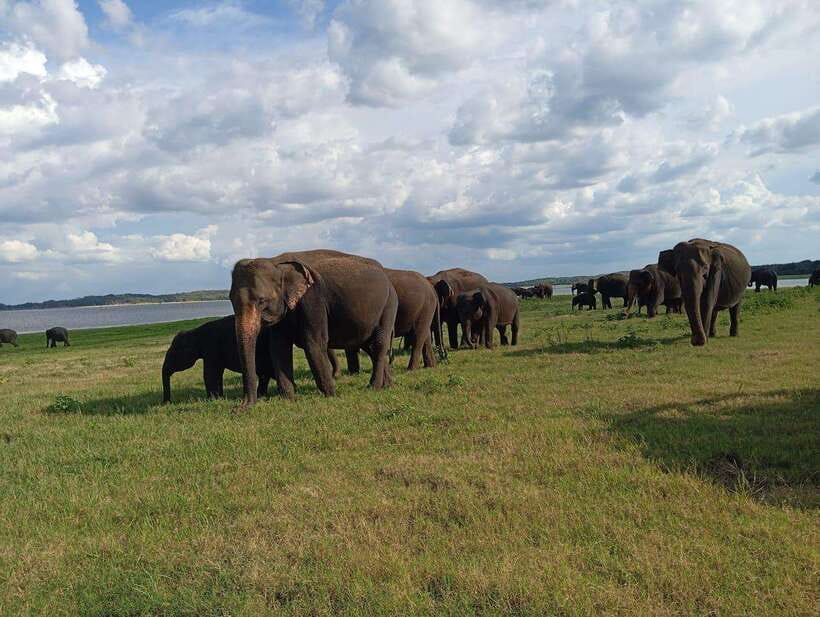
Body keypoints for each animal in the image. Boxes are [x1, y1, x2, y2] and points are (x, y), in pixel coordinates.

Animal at [230, 249, 398, 405]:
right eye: (230, 299)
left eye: (261, 301)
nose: (241, 406)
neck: (276, 262)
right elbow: (279, 347)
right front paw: (289, 398)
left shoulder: (313, 298)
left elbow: (314, 344)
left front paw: (332, 396)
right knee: (369, 345)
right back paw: (388, 385)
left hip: (389, 305)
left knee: (379, 343)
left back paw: (373, 387)